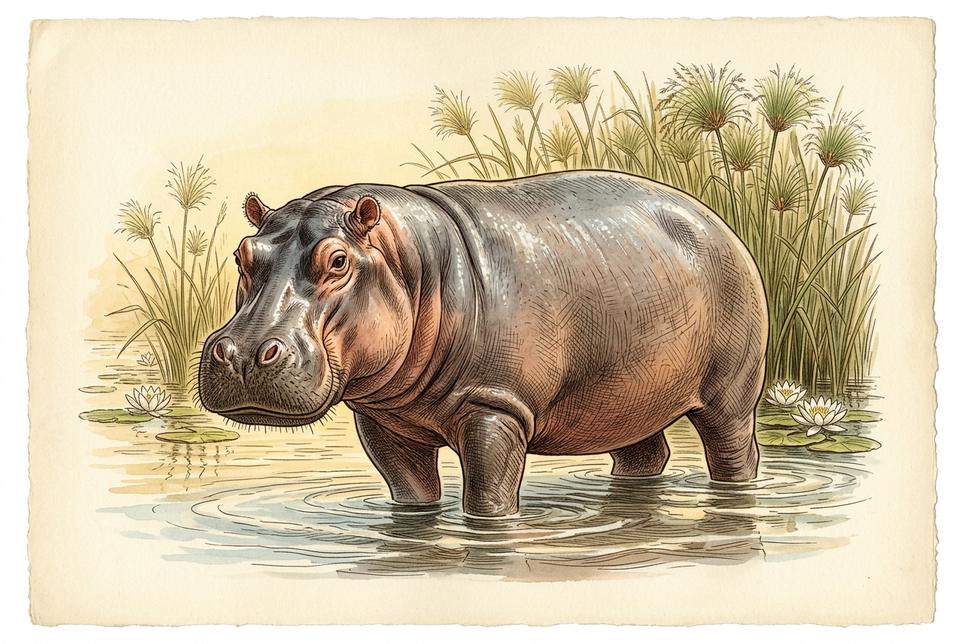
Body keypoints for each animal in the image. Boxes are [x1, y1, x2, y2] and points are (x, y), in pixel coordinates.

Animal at [198, 170, 768, 517]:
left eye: (338, 260)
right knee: (645, 453)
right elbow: (411, 495)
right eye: (241, 254)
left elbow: (487, 499)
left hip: (730, 393)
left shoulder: (495, 408)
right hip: (624, 397)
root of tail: (718, 222)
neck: (412, 264)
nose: (244, 353)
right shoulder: (384, 422)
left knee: (734, 450)